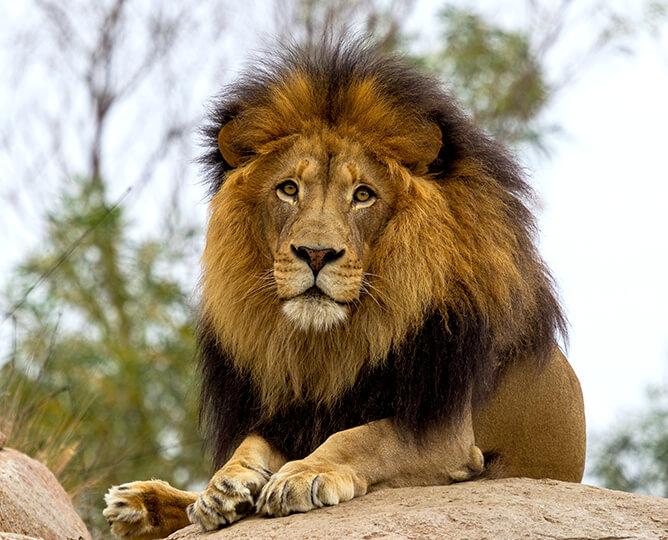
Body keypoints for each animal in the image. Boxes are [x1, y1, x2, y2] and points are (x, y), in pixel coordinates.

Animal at [103, 39, 585, 539]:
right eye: (288, 189)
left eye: (363, 195)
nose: (315, 254)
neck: (337, 344)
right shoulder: (293, 415)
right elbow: (250, 443)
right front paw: (227, 484)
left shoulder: (448, 433)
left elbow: (365, 436)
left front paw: (302, 475)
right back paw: (140, 503)